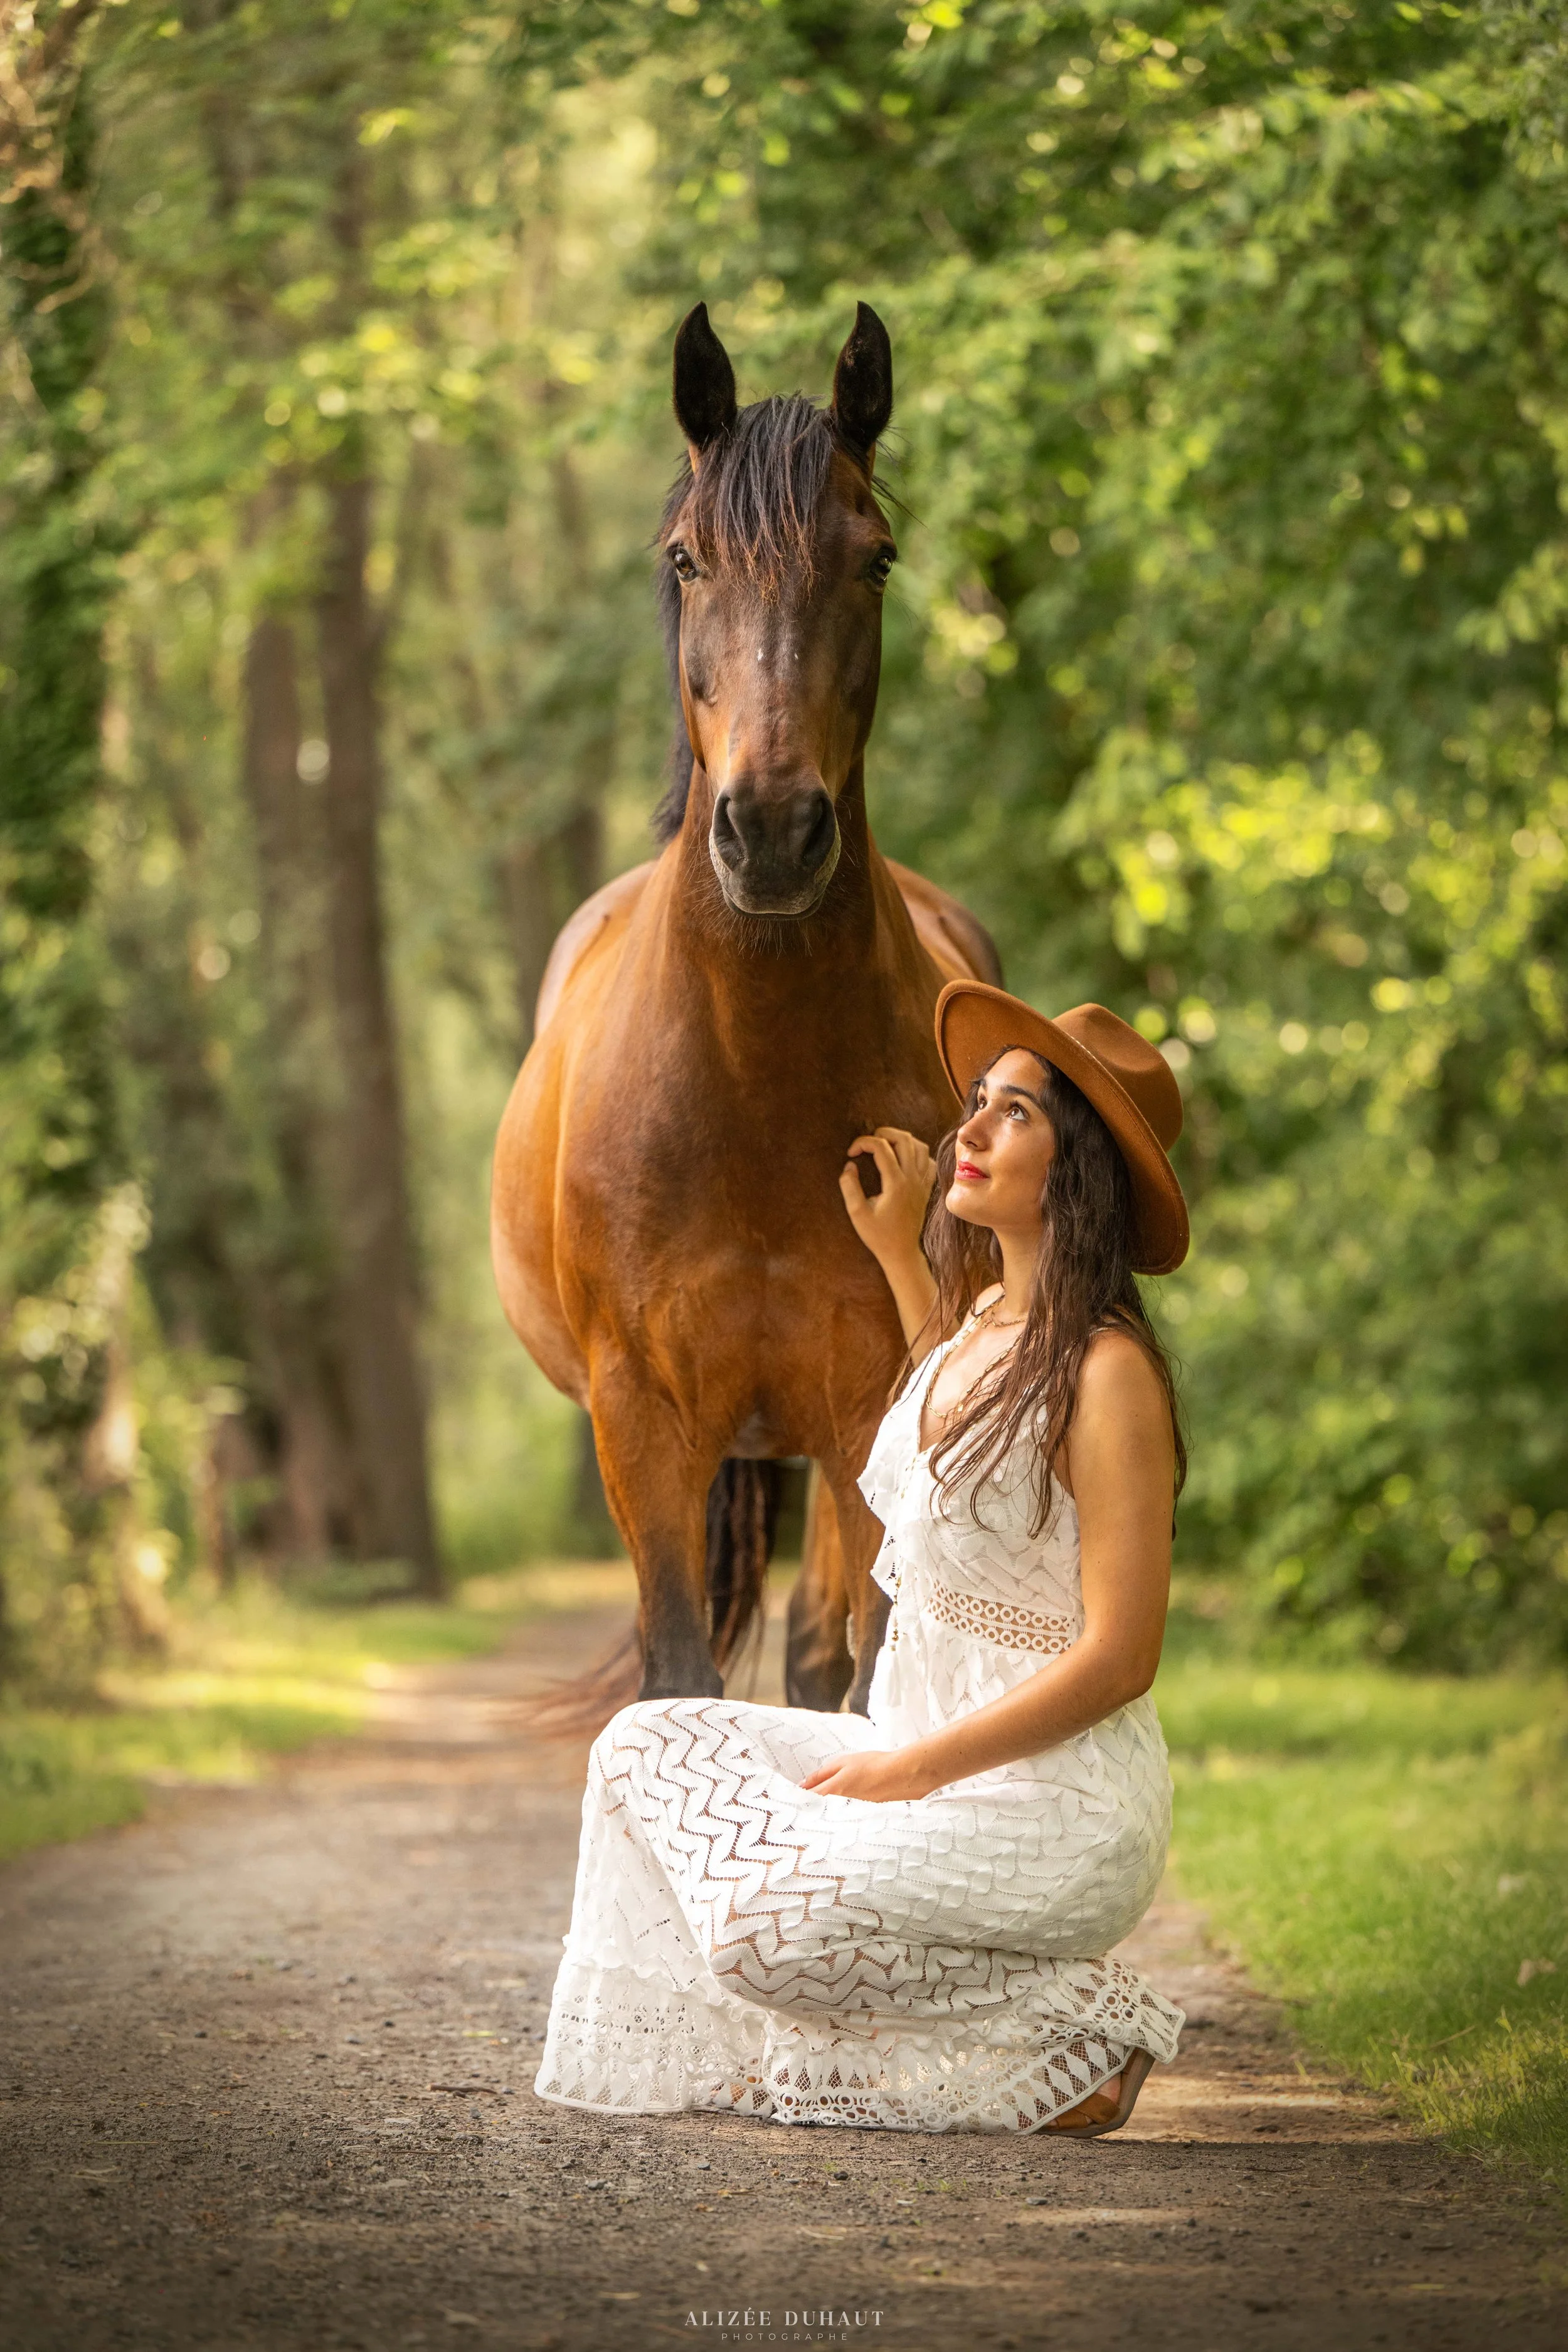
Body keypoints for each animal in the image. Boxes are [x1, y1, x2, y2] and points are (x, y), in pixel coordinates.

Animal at [490, 301, 1001, 1716]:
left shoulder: (873, 1401)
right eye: (687, 558)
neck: (754, 1089)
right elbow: (675, 1675)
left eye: (875, 560)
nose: (771, 831)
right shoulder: (643, 1424)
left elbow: (861, 1670)